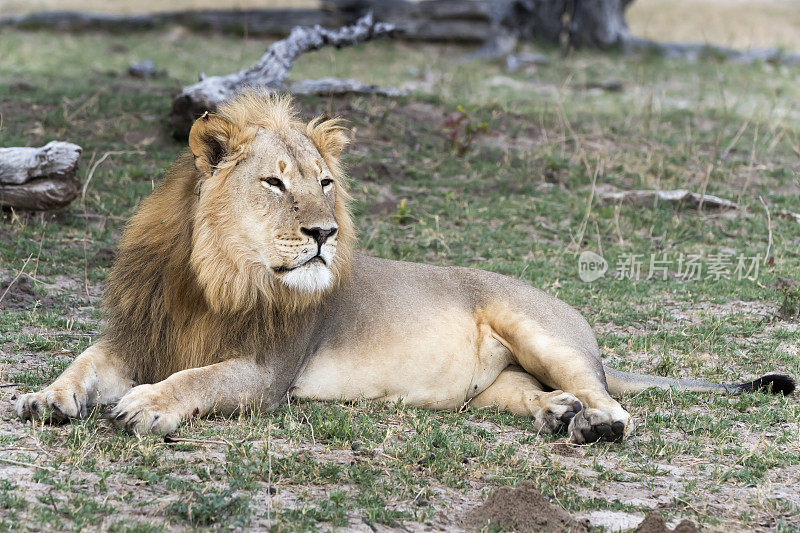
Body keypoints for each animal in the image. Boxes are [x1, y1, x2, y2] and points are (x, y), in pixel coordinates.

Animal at [15, 91, 796, 440]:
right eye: (274, 184)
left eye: (325, 182)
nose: (325, 232)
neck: (213, 278)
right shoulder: (138, 335)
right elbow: (83, 362)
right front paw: (44, 397)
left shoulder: (268, 372)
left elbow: (197, 378)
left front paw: (146, 404)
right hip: (494, 387)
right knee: (527, 393)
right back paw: (556, 413)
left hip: (538, 328)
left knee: (614, 401)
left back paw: (594, 420)